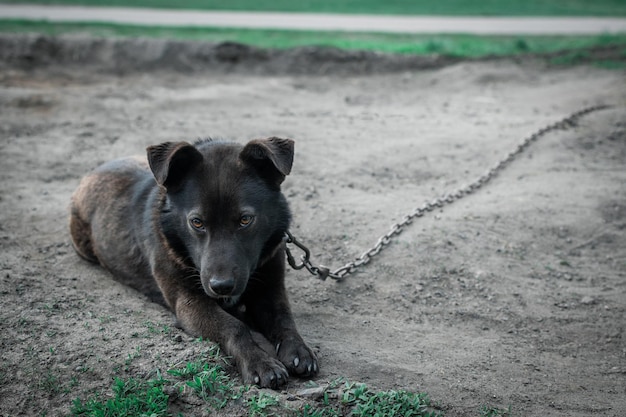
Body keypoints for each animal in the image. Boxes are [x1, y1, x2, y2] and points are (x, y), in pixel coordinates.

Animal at [69, 136, 316, 386]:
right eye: (196, 222)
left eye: (245, 220)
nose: (221, 287)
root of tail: (93, 173)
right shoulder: (189, 303)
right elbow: (233, 326)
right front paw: (260, 363)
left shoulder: (270, 289)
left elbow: (284, 319)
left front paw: (298, 351)